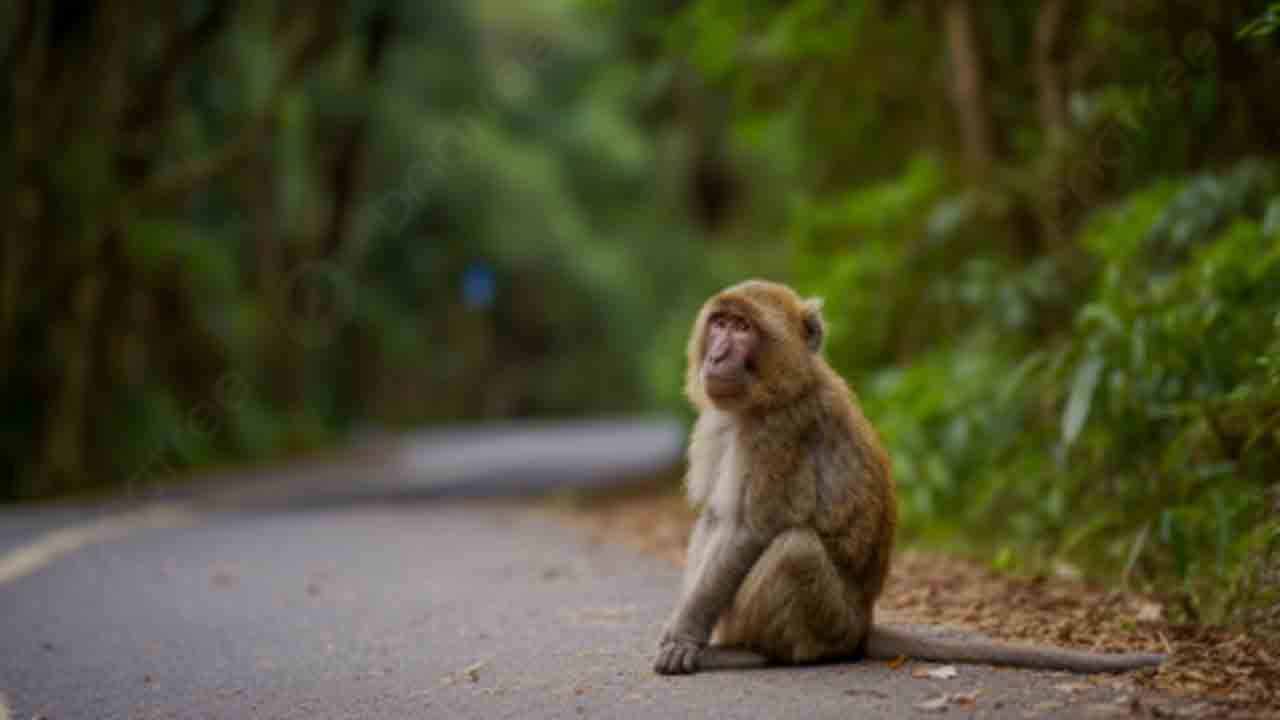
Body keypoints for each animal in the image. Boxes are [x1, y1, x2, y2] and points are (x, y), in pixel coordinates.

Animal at [653, 279, 1165, 676]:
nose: (717, 355)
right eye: (719, 323)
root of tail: (863, 626)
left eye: (742, 328)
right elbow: (716, 520)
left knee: (795, 549)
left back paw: (765, 654)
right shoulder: (719, 423)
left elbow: (748, 530)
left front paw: (685, 635)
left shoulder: (779, 432)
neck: (765, 396)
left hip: (832, 620)